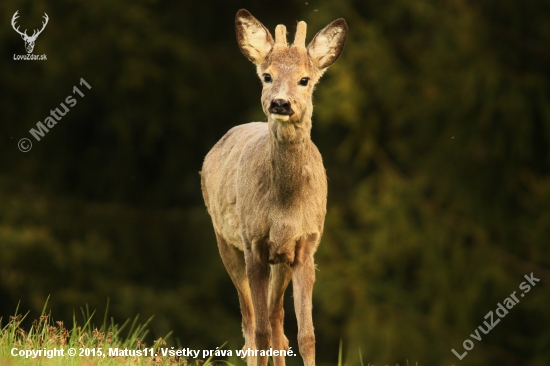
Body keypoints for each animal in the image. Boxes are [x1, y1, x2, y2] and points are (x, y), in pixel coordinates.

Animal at [203, 8, 348, 366]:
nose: (281, 103)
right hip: (224, 238)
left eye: (305, 79)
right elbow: (260, 331)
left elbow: (306, 335)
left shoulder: (306, 246)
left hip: (280, 260)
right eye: (267, 76)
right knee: (251, 324)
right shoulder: (254, 243)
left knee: (278, 326)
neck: (286, 207)